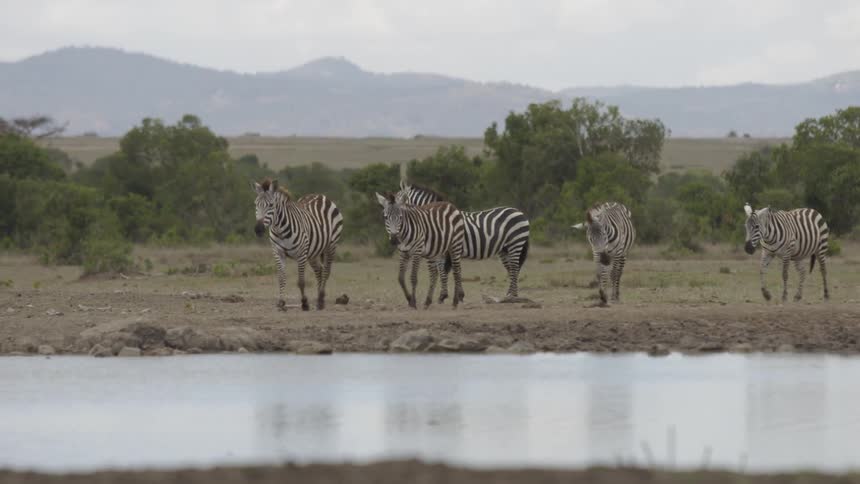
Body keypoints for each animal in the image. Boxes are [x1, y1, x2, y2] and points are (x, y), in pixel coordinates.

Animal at [254, 178, 343, 311]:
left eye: (271, 205)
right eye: (256, 204)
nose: (258, 230)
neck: (280, 231)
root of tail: (320, 195)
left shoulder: (301, 253)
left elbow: (301, 281)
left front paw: (305, 303)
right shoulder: (278, 252)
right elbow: (281, 278)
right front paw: (281, 302)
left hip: (331, 245)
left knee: (326, 271)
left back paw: (321, 300)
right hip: (313, 252)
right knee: (319, 270)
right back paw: (318, 299)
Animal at [395, 181, 530, 300]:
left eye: (395, 200)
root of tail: (519, 212)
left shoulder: (445, 250)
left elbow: (444, 270)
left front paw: (445, 295)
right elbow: (446, 270)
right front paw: (448, 294)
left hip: (515, 243)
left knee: (514, 268)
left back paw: (512, 295)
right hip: (504, 249)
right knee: (512, 269)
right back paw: (511, 294)